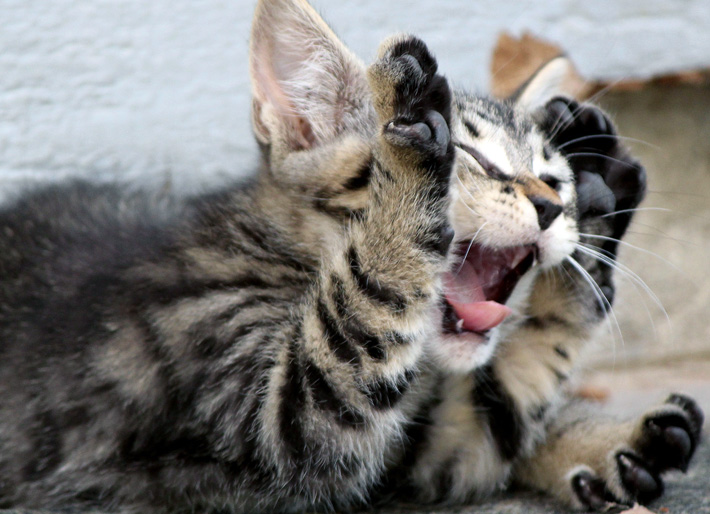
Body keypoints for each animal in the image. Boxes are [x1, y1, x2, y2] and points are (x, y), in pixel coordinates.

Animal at [0, 1, 704, 512]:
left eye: (550, 178)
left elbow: (503, 396)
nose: (554, 204)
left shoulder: (428, 450)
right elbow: (361, 326)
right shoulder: (278, 417)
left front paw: (611, 437)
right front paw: (408, 148)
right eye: (471, 158)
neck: (282, 252)